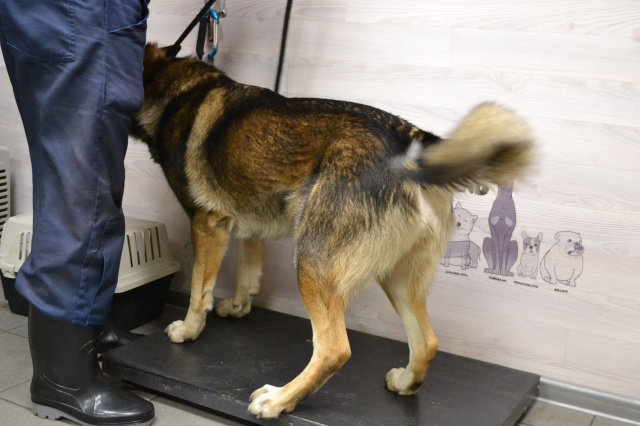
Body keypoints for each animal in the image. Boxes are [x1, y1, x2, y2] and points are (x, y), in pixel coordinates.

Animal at [130, 44, 534, 418]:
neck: (173, 86)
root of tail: (408, 139)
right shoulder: (248, 223)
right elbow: (248, 272)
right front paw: (240, 306)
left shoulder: (207, 223)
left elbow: (200, 291)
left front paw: (188, 330)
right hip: (396, 277)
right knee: (428, 342)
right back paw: (405, 382)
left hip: (311, 261)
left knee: (335, 349)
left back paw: (279, 400)